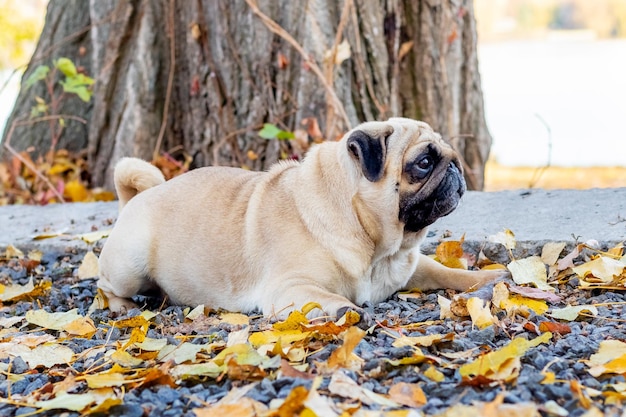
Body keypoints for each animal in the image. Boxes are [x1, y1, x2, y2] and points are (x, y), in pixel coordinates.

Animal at [96, 118, 498, 318]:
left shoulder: (411, 266)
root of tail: (138, 197)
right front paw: (347, 310)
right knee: (105, 287)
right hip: (129, 265)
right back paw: (123, 307)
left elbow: (445, 272)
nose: (456, 167)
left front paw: (488, 278)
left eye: (448, 154)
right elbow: (326, 297)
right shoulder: (289, 287)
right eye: (424, 162)